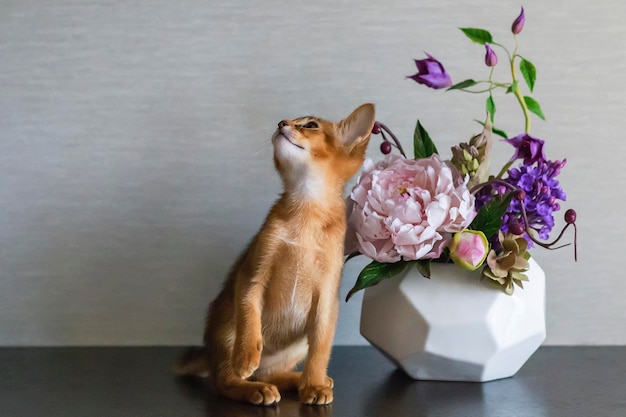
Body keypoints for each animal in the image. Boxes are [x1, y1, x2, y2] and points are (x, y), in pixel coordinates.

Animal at [173, 102, 372, 404]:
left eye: (310, 125)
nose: (281, 123)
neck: (307, 212)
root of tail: (208, 353)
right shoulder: (252, 273)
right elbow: (249, 313)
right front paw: (245, 355)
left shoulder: (327, 297)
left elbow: (321, 348)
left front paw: (314, 384)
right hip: (226, 329)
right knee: (224, 381)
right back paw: (254, 387)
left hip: (296, 345)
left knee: (270, 373)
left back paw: (299, 380)